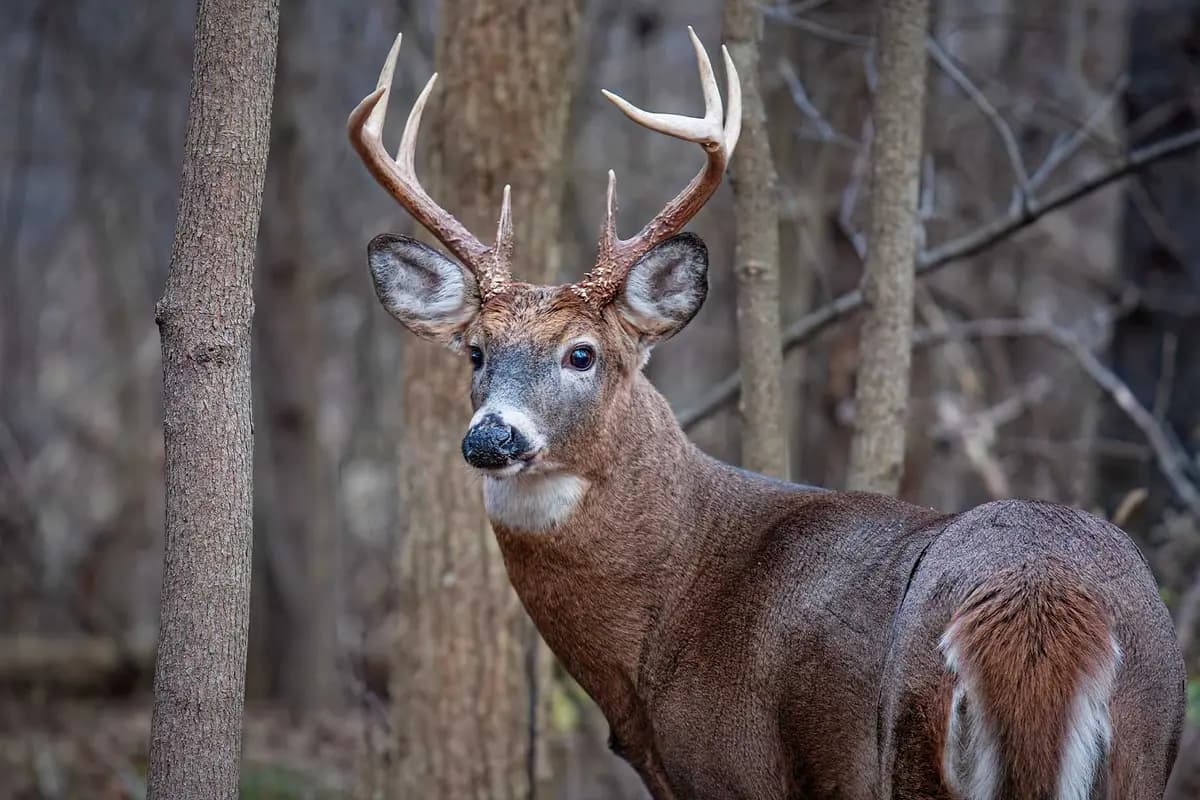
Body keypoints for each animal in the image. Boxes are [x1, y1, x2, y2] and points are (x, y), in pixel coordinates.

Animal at [348, 30, 1185, 800]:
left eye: (581, 354)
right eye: (475, 352)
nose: (492, 436)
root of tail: (1041, 604)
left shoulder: (733, 767)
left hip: (913, 745)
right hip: (1145, 747)